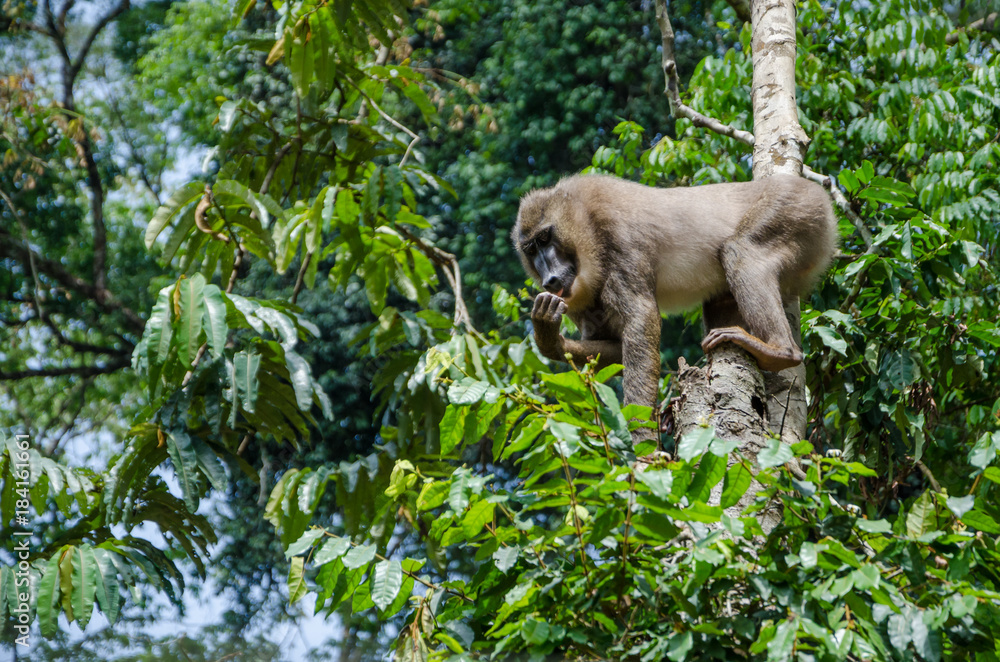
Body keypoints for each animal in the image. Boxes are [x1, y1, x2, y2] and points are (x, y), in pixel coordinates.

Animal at [512, 174, 837, 439]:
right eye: (531, 249)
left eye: (546, 238)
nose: (550, 277)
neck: (584, 219)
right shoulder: (577, 300)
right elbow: (616, 347)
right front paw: (549, 339)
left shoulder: (620, 237)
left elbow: (641, 322)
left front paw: (642, 445)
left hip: (794, 207)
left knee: (741, 250)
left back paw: (779, 351)